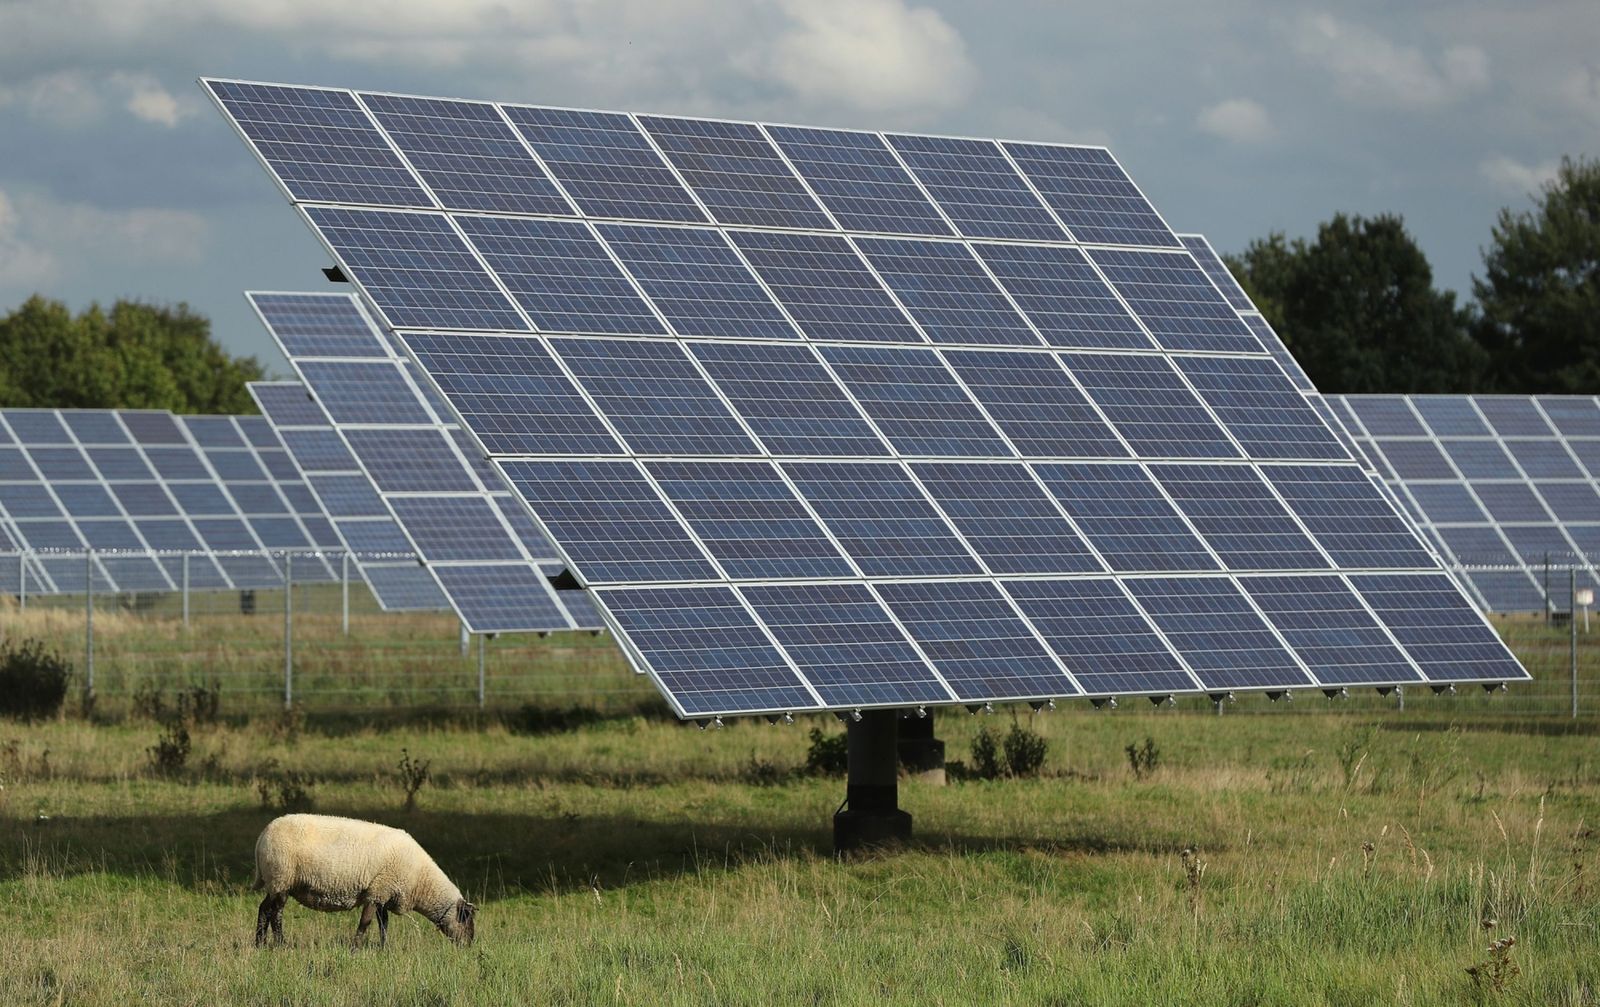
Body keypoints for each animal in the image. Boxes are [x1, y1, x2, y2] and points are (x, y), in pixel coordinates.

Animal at [249, 813, 473, 947]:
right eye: (466, 920)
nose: (469, 946)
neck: (421, 880)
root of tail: (262, 836)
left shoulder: (383, 892)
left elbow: (384, 924)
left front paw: (384, 948)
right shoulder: (377, 891)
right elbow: (365, 922)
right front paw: (355, 948)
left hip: (275, 882)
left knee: (263, 909)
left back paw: (260, 944)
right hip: (282, 878)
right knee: (276, 914)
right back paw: (281, 944)